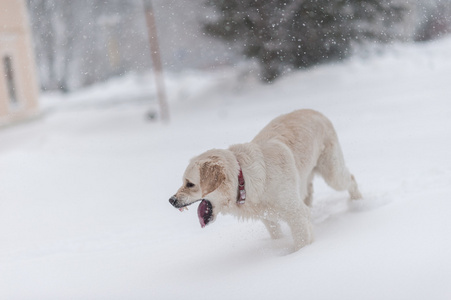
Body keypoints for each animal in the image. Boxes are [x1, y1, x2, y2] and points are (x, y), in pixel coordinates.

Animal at [170, 109, 364, 251]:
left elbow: (301, 240)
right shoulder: (268, 217)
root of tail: (315, 111)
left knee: (351, 179)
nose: (171, 200)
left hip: (332, 174)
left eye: (190, 184)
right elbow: (276, 233)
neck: (244, 180)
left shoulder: (295, 213)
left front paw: (299, 255)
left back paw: (358, 203)